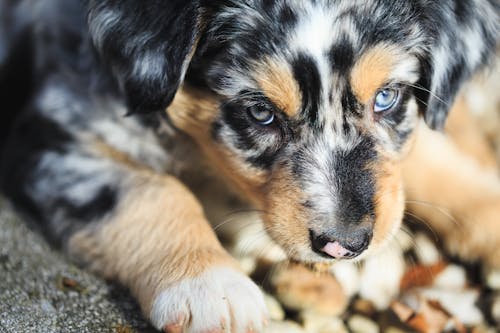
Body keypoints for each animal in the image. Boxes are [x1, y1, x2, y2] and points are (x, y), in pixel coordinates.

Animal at [0, 0, 498, 330]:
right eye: (260, 112)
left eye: (386, 97)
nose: (345, 246)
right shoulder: (54, 138)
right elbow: (154, 192)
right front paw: (209, 289)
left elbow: (432, 159)